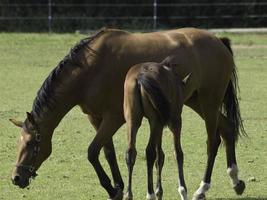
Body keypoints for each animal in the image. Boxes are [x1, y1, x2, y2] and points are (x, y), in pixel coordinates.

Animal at [10, 27, 246, 199]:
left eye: (31, 143)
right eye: (18, 142)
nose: (16, 177)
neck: (90, 69)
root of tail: (218, 40)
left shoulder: (114, 118)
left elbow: (92, 151)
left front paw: (111, 188)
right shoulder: (96, 118)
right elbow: (108, 152)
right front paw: (118, 186)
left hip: (209, 102)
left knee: (213, 141)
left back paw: (202, 188)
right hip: (195, 101)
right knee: (227, 129)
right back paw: (235, 180)